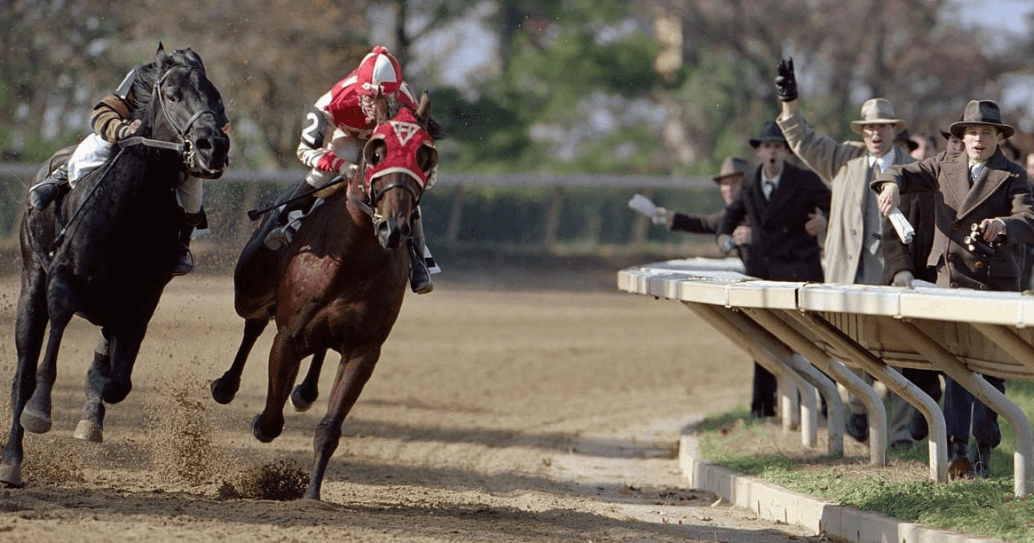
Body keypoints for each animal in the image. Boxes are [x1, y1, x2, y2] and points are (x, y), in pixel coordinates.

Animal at [0, 44, 230, 488]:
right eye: (172, 95)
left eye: (217, 98)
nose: (213, 145)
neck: (127, 216)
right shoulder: (62, 281)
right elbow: (50, 351)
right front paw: (40, 412)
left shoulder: (142, 300)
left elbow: (116, 381)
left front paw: (92, 410)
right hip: (31, 280)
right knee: (23, 370)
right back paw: (11, 460)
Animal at [210, 90, 440, 501]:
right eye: (377, 151)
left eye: (424, 156)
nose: (394, 227)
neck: (352, 259)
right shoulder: (288, 337)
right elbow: (270, 421)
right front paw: (259, 423)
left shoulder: (364, 349)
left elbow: (330, 428)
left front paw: (312, 493)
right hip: (249, 289)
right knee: (254, 323)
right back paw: (226, 386)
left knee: (316, 351)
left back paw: (305, 391)